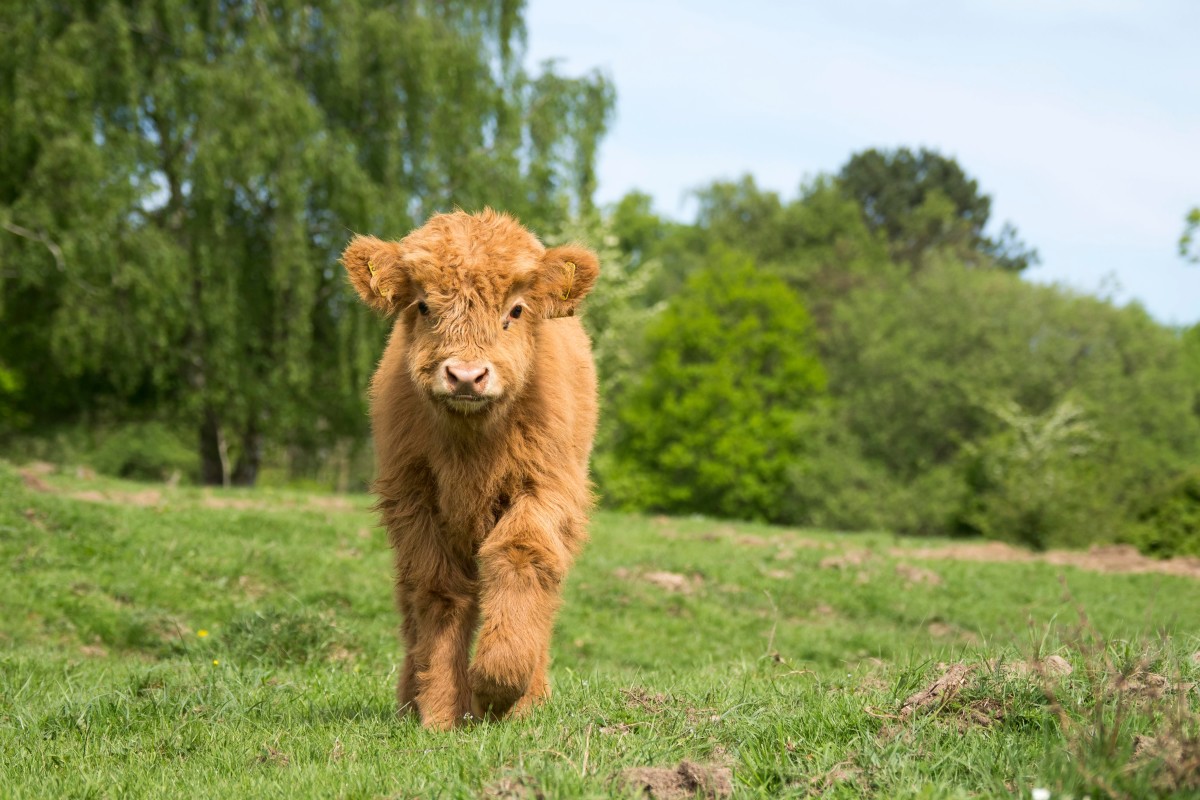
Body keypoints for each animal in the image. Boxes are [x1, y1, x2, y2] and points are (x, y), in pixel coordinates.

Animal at [340, 209, 599, 730]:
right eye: (423, 305)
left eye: (515, 310)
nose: (465, 375)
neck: (470, 449)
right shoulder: (414, 500)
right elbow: (439, 592)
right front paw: (441, 711)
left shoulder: (544, 492)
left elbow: (520, 559)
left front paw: (497, 690)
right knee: (410, 603)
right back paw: (409, 698)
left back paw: (531, 697)